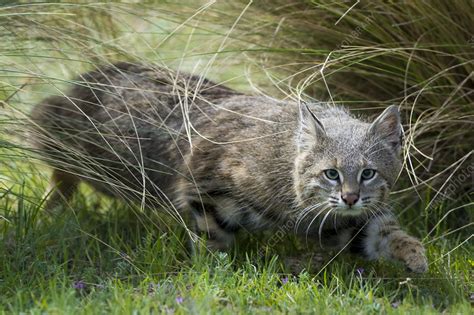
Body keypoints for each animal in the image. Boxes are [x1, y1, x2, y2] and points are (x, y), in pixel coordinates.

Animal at [30, 63, 430, 272]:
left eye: (368, 173)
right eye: (331, 173)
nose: (350, 198)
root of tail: (97, 71)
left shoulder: (350, 221)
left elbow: (389, 234)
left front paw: (417, 258)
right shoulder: (201, 184)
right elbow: (214, 237)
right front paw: (212, 274)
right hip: (87, 150)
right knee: (50, 140)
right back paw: (54, 205)